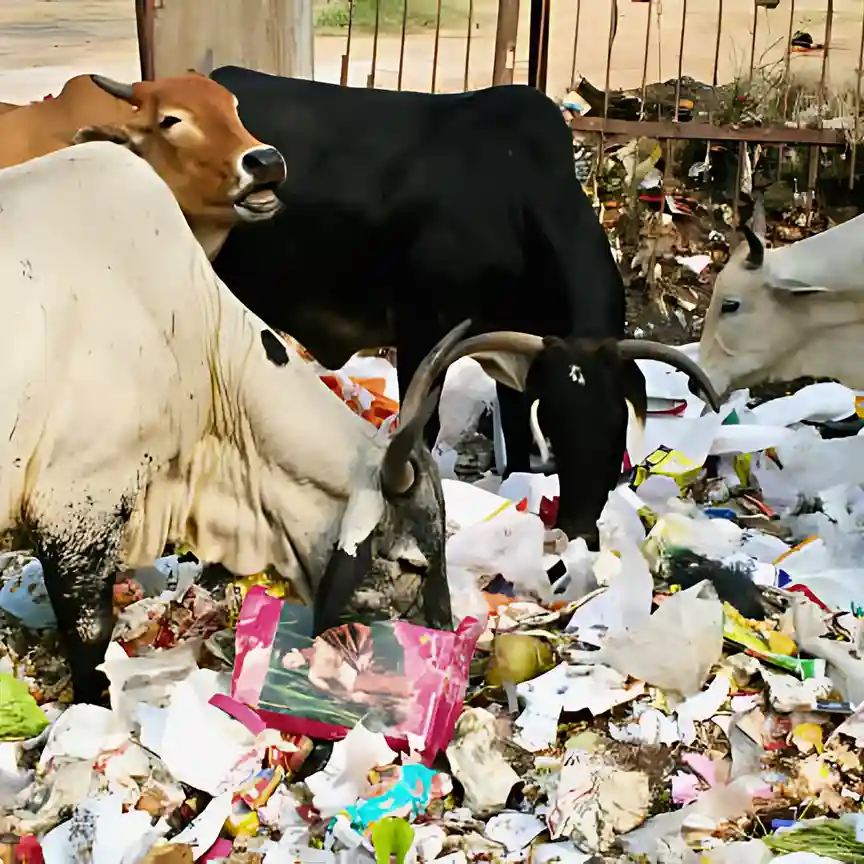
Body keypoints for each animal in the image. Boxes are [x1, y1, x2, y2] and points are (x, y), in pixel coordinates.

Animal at [209, 64, 716, 544]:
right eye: (555, 429)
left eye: (616, 429)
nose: (578, 529)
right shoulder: (422, 331)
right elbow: (423, 428)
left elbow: (516, 436)